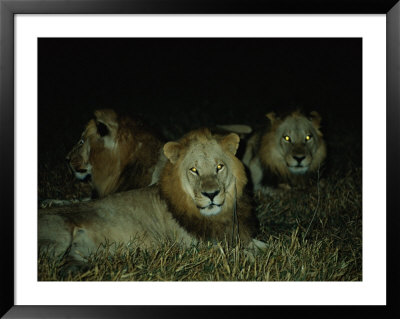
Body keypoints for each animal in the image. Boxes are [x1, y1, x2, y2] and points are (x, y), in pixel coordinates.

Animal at [38, 127, 266, 276]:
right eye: (194, 170)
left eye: (219, 167)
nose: (212, 194)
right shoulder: (194, 246)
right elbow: (238, 252)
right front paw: (253, 256)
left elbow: (261, 244)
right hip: (59, 238)